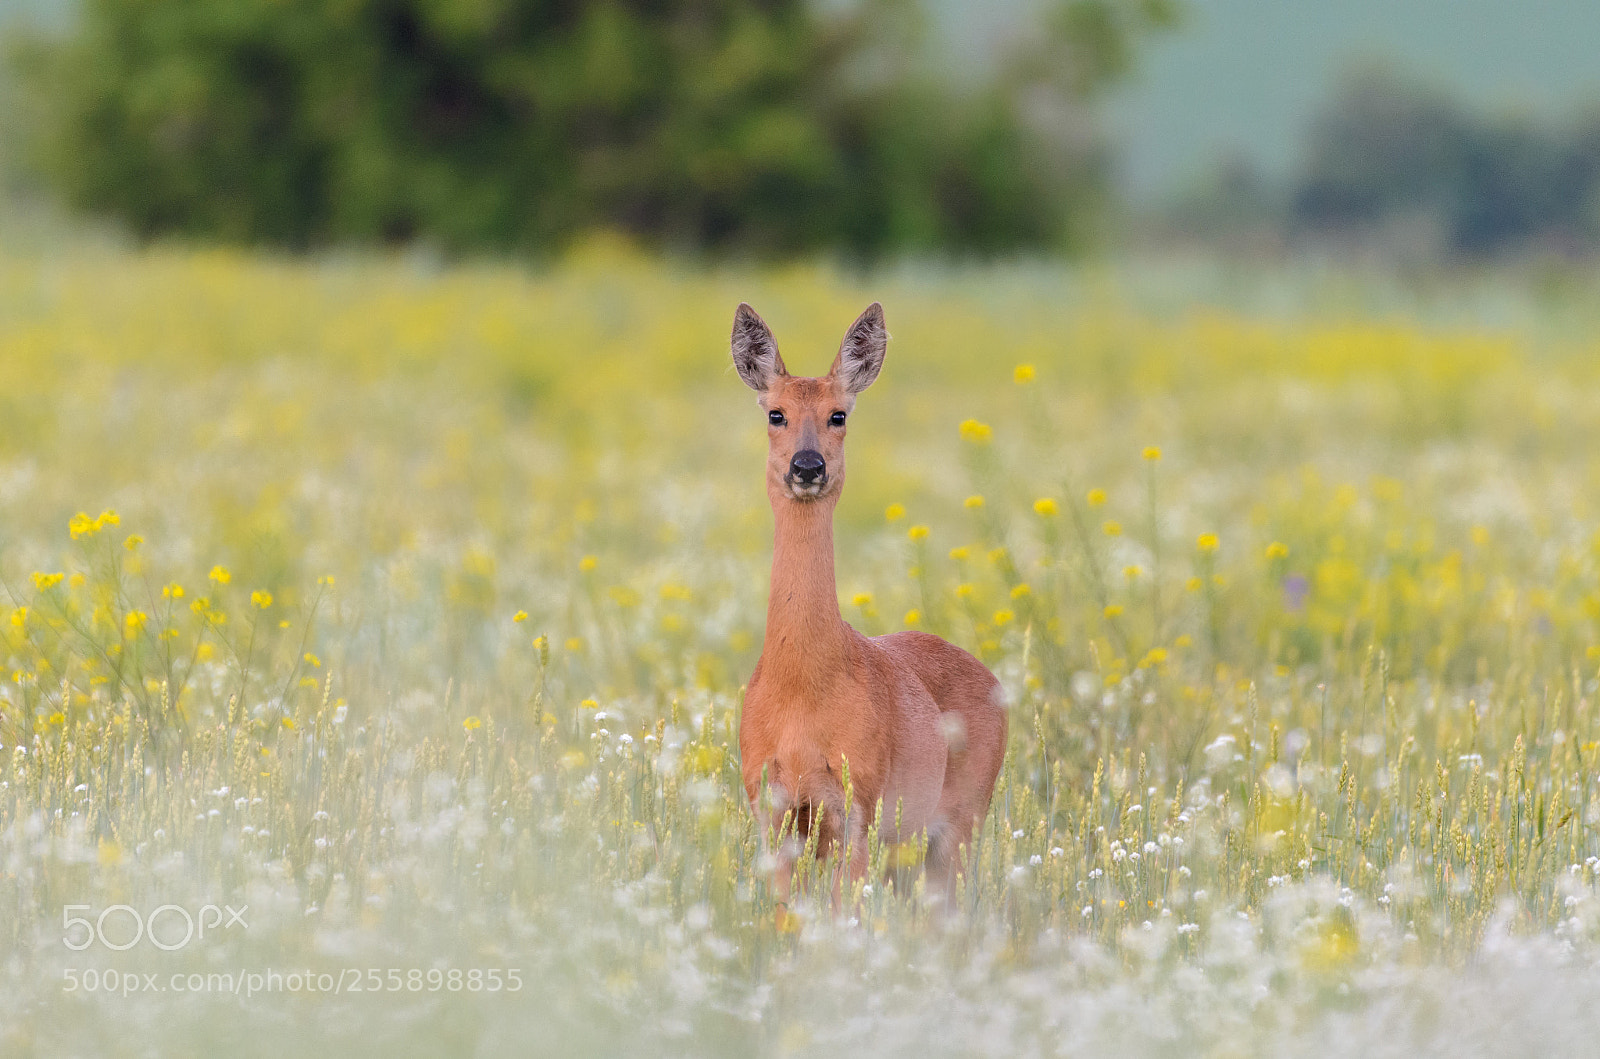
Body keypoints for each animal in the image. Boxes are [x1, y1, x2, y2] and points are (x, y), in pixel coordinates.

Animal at [730, 301, 1008, 922]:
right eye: (776, 413)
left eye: (838, 414)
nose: (808, 466)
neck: (801, 692)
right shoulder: (769, 803)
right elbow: (787, 920)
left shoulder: (859, 802)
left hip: (961, 818)